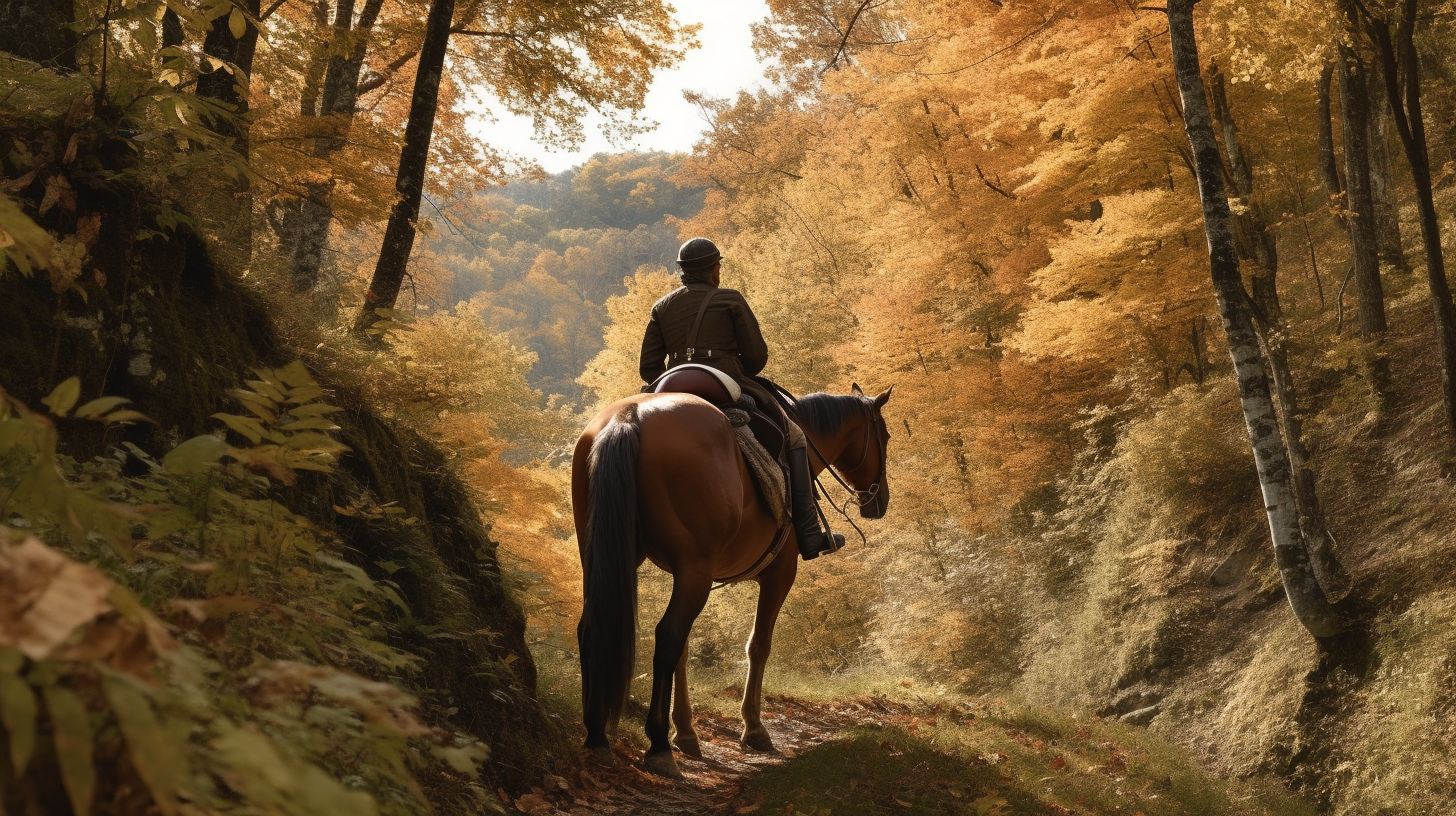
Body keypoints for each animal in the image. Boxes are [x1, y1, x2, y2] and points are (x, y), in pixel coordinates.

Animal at [564, 381, 885, 775]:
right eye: (884, 435)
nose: (879, 501)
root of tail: (629, 417)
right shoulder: (779, 573)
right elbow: (758, 645)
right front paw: (754, 728)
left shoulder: (680, 572)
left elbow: (687, 651)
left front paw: (686, 733)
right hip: (697, 570)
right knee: (667, 636)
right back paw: (657, 745)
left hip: (604, 558)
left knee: (596, 628)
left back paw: (596, 734)